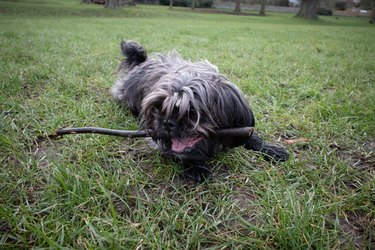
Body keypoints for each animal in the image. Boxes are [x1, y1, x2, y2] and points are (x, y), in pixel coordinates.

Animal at [110, 40, 290, 182]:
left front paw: (270, 148)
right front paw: (196, 166)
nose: (166, 122)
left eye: (192, 111)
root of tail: (142, 62)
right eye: (158, 107)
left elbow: (252, 137)